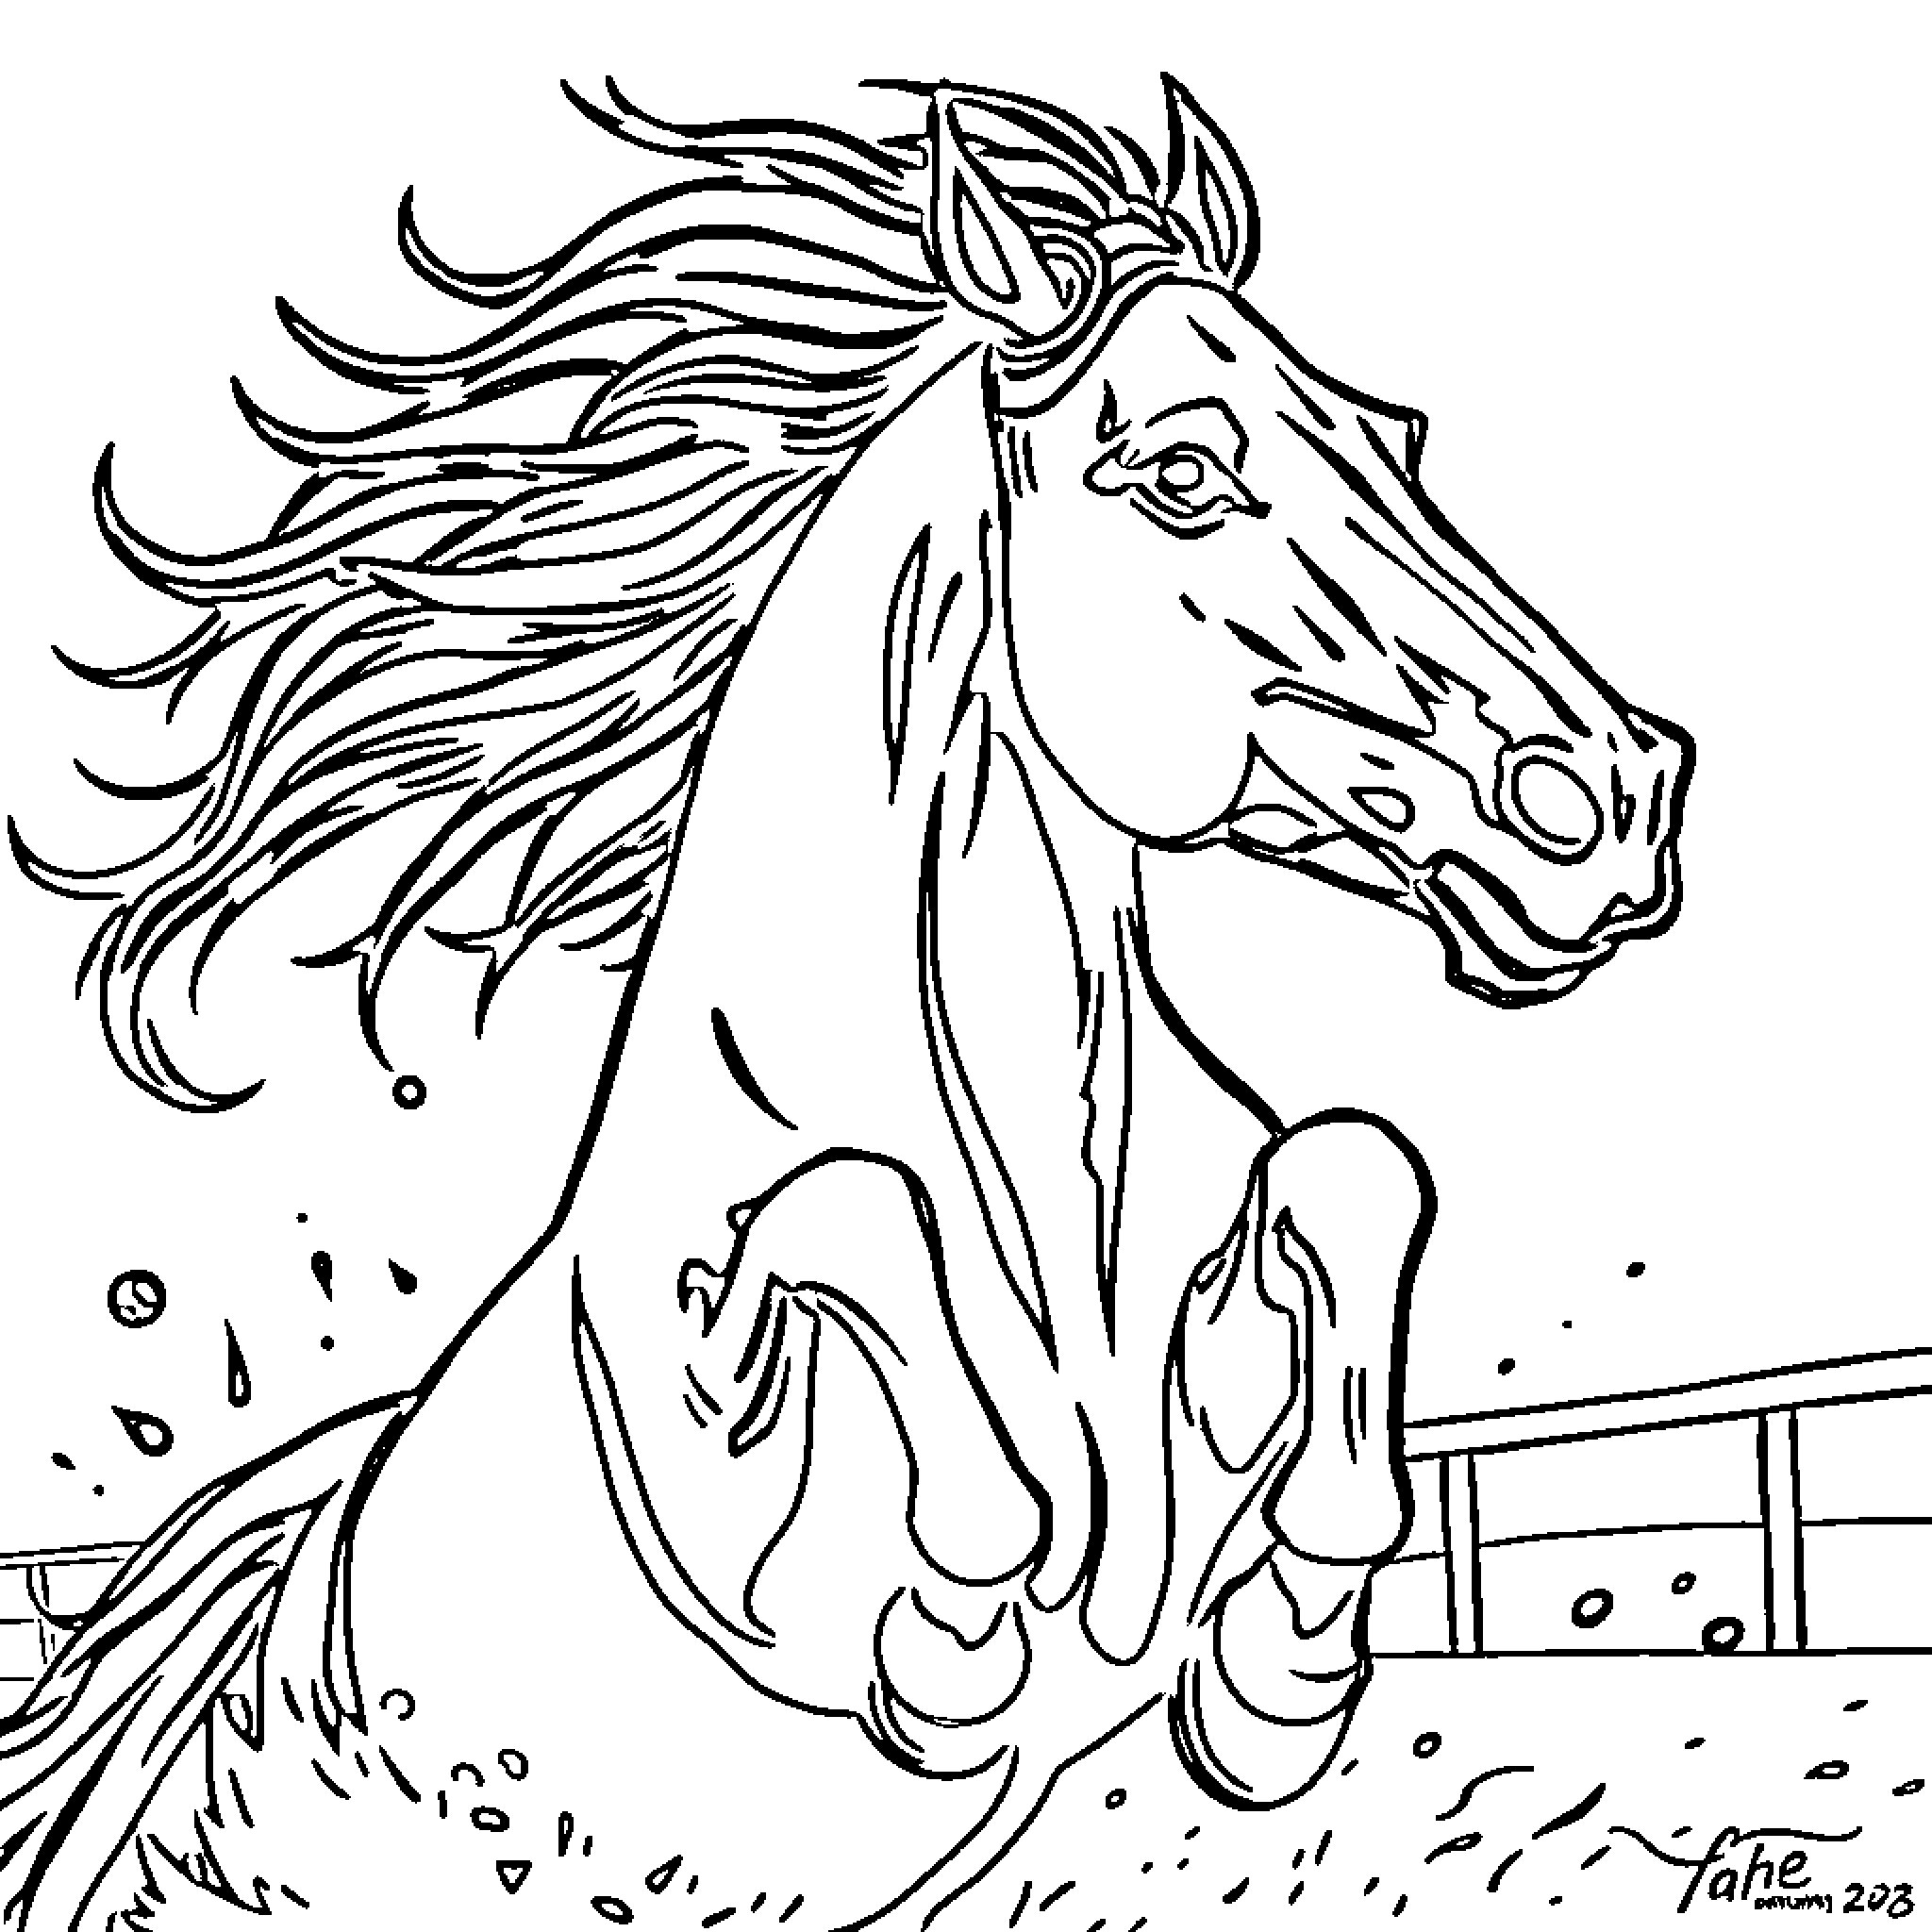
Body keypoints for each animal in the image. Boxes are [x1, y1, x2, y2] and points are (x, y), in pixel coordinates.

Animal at [0, 76, 1693, 1931]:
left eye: (1396, 440)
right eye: (1182, 471)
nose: (1612, 799)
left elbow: (1354, 1168)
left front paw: (1277, 1673)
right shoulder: (717, 1474)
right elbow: (848, 1220)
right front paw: (954, 1658)